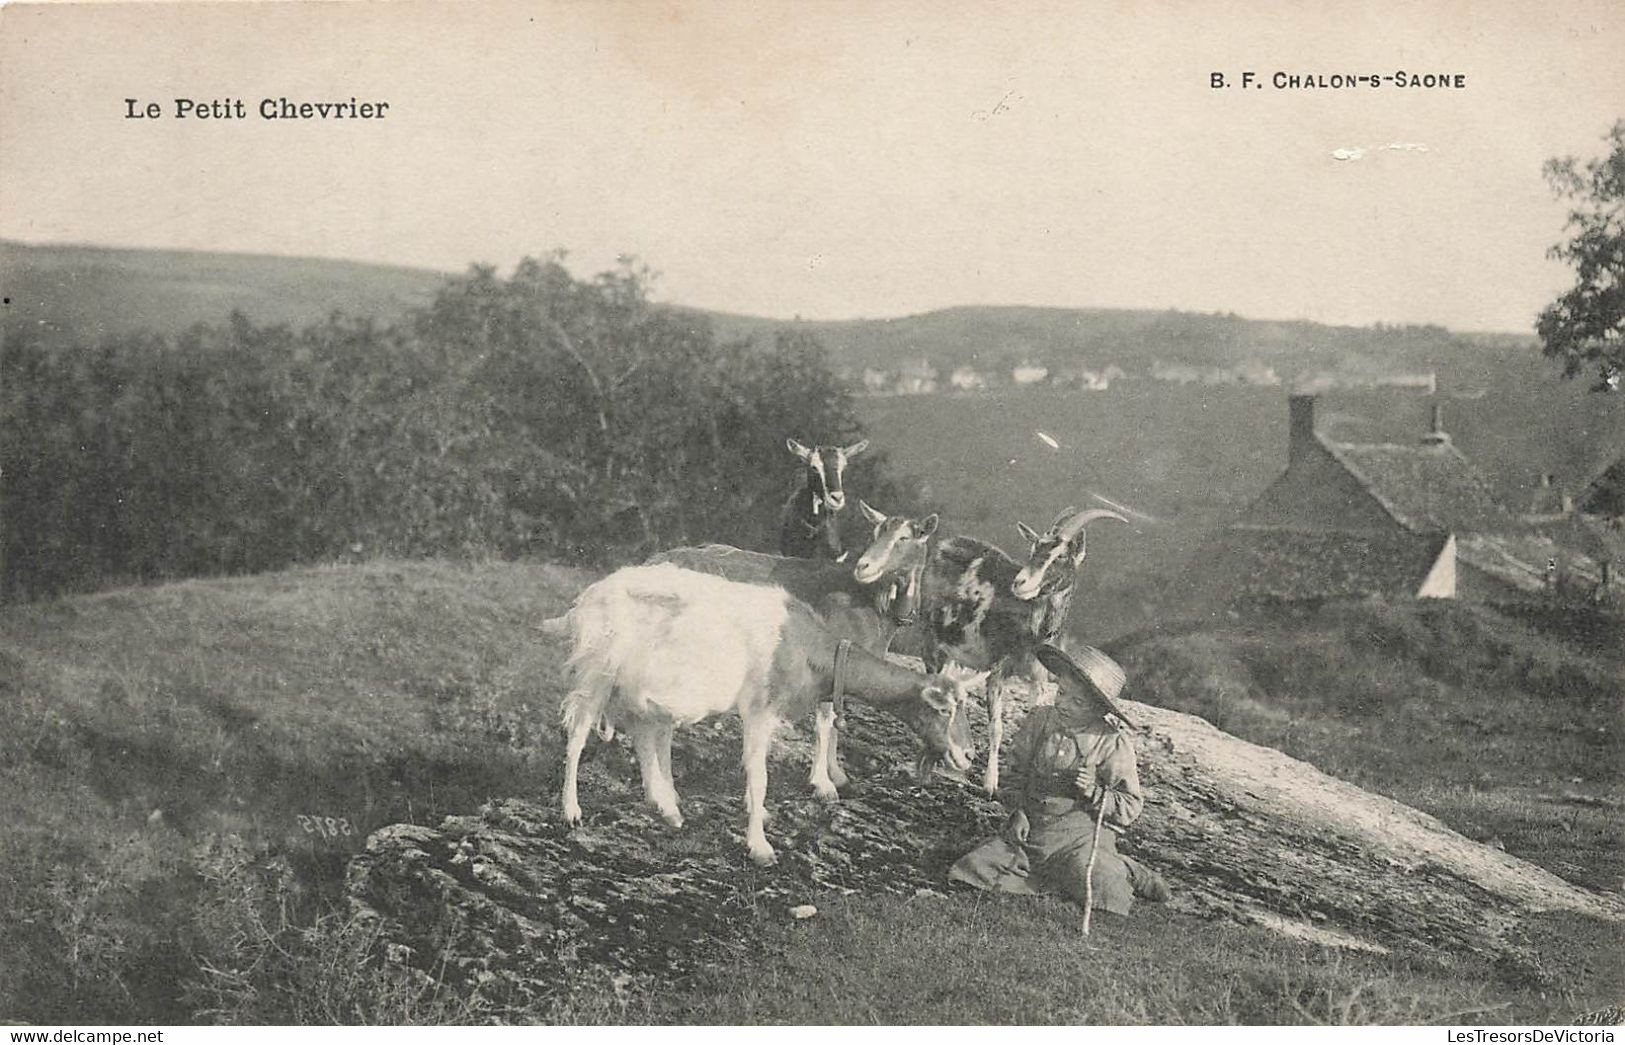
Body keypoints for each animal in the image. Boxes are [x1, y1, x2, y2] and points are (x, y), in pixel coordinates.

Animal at [542, 565, 975, 864]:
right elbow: (759, 775)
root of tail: (585, 600)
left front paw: (758, 820)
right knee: (577, 733)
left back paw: (668, 808)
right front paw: (760, 846)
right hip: (597, 671)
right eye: (943, 709)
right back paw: (572, 811)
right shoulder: (760, 708)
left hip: (644, 687)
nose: (968, 755)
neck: (806, 643)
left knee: (646, 734)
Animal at [851, 503, 1131, 793]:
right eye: (1034, 550)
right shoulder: (998, 669)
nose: (1020, 583)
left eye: (1061, 556)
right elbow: (996, 727)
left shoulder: (1039, 675)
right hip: (932, 640)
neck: (1032, 623)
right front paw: (990, 784)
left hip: (958, 651)